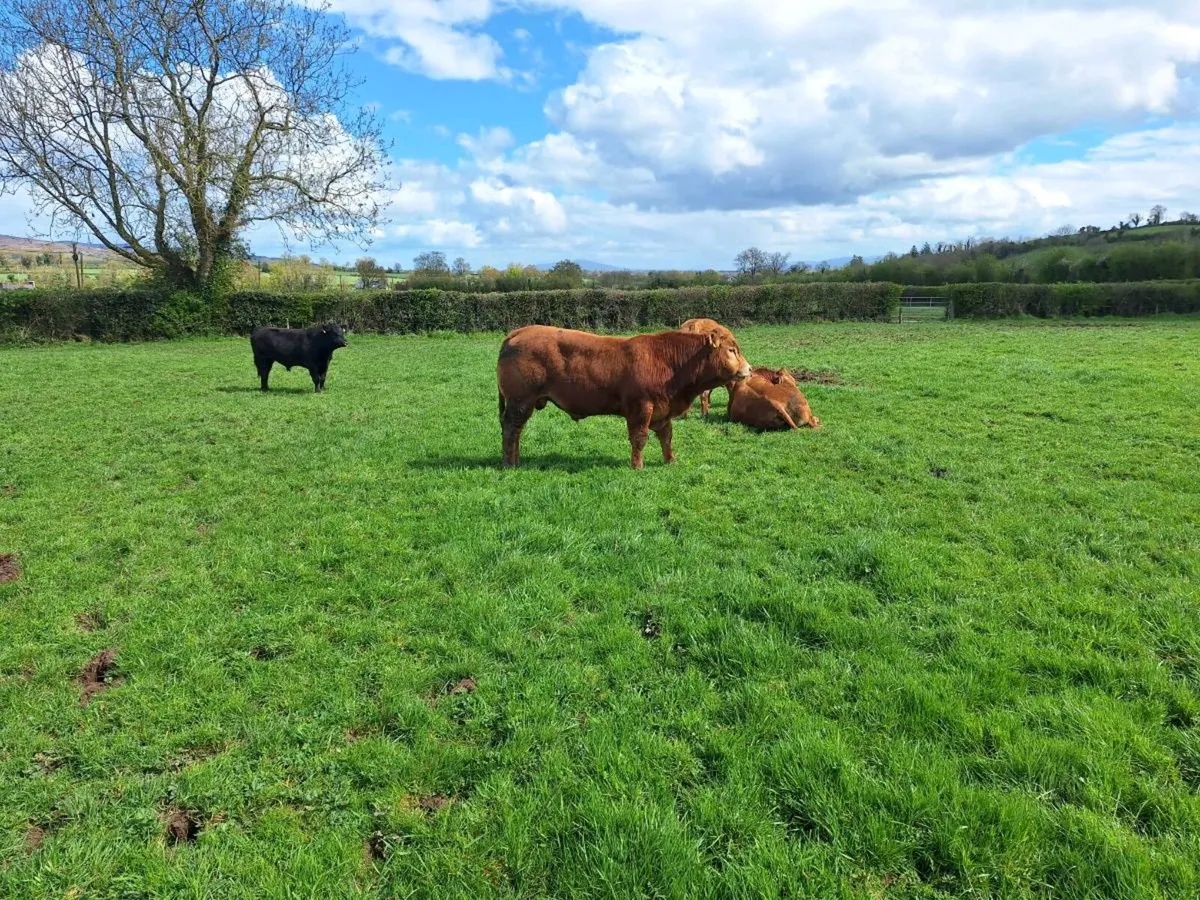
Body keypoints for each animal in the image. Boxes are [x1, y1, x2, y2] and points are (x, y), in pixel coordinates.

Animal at [497, 324, 752, 469]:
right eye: (731, 350)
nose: (749, 369)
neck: (669, 362)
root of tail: (519, 332)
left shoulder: (663, 411)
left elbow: (666, 437)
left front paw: (670, 460)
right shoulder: (641, 408)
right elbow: (639, 439)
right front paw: (637, 466)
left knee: (516, 430)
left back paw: (516, 460)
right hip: (520, 402)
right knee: (511, 429)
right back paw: (509, 463)